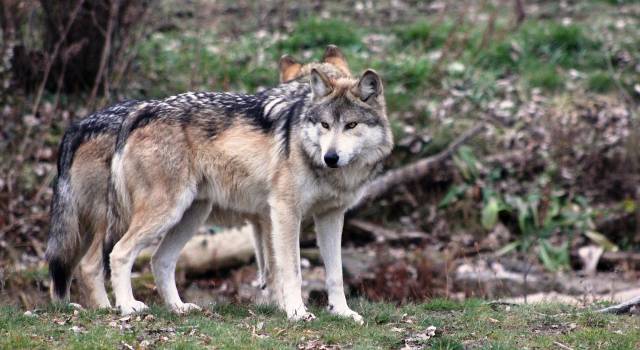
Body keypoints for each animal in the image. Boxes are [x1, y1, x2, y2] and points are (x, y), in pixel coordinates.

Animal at [45, 45, 356, 308]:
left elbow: (269, 267)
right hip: (127, 217)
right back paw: (114, 308)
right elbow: (279, 267)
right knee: (92, 265)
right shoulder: (276, 215)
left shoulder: (262, 218)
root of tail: (79, 125)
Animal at [105, 49, 392, 322]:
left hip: (191, 215)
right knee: (119, 253)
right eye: (325, 125)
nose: (330, 157)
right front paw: (297, 313)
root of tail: (143, 110)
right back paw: (128, 306)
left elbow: (335, 273)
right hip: (168, 212)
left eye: (351, 125)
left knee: (160, 260)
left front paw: (342, 312)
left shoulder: (330, 216)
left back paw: (179, 308)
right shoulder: (285, 212)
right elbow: (291, 270)